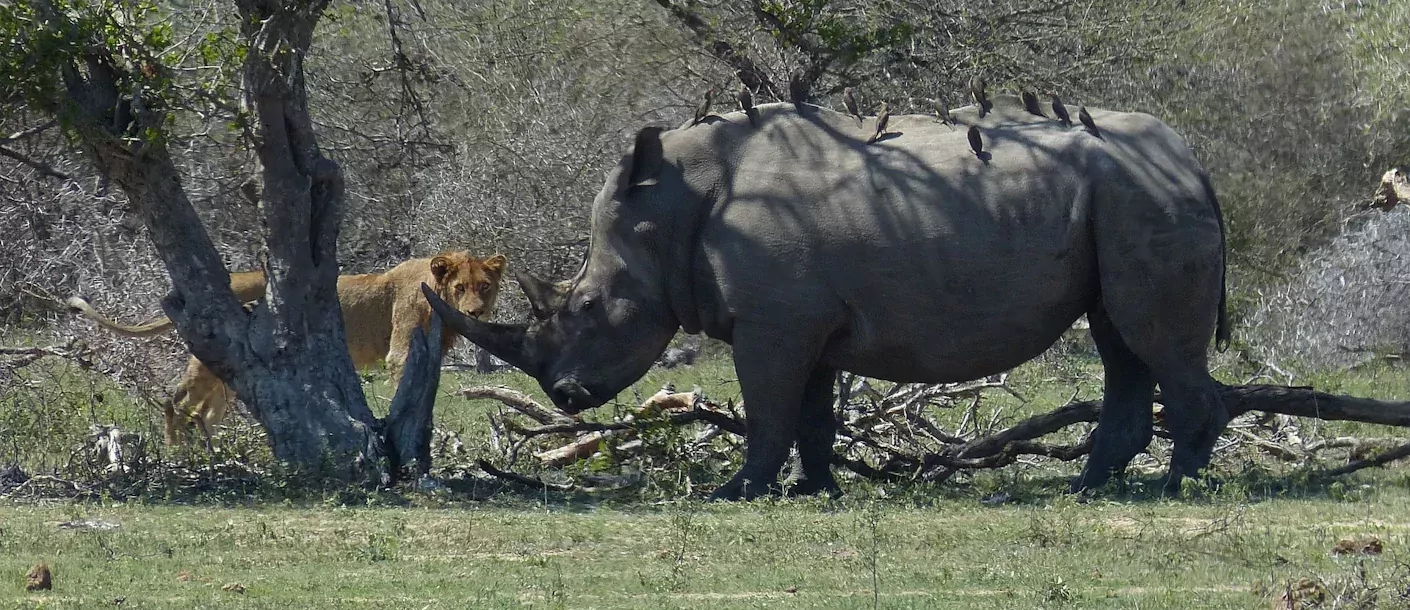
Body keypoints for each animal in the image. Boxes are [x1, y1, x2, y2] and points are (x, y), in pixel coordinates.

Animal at [67, 249, 507, 445]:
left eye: (484, 286)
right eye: (460, 287)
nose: (476, 311)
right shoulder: (401, 348)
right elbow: (408, 393)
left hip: (230, 376)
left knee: (203, 412)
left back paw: (213, 451)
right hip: (209, 362)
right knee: (175, 401)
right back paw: (179, 452)